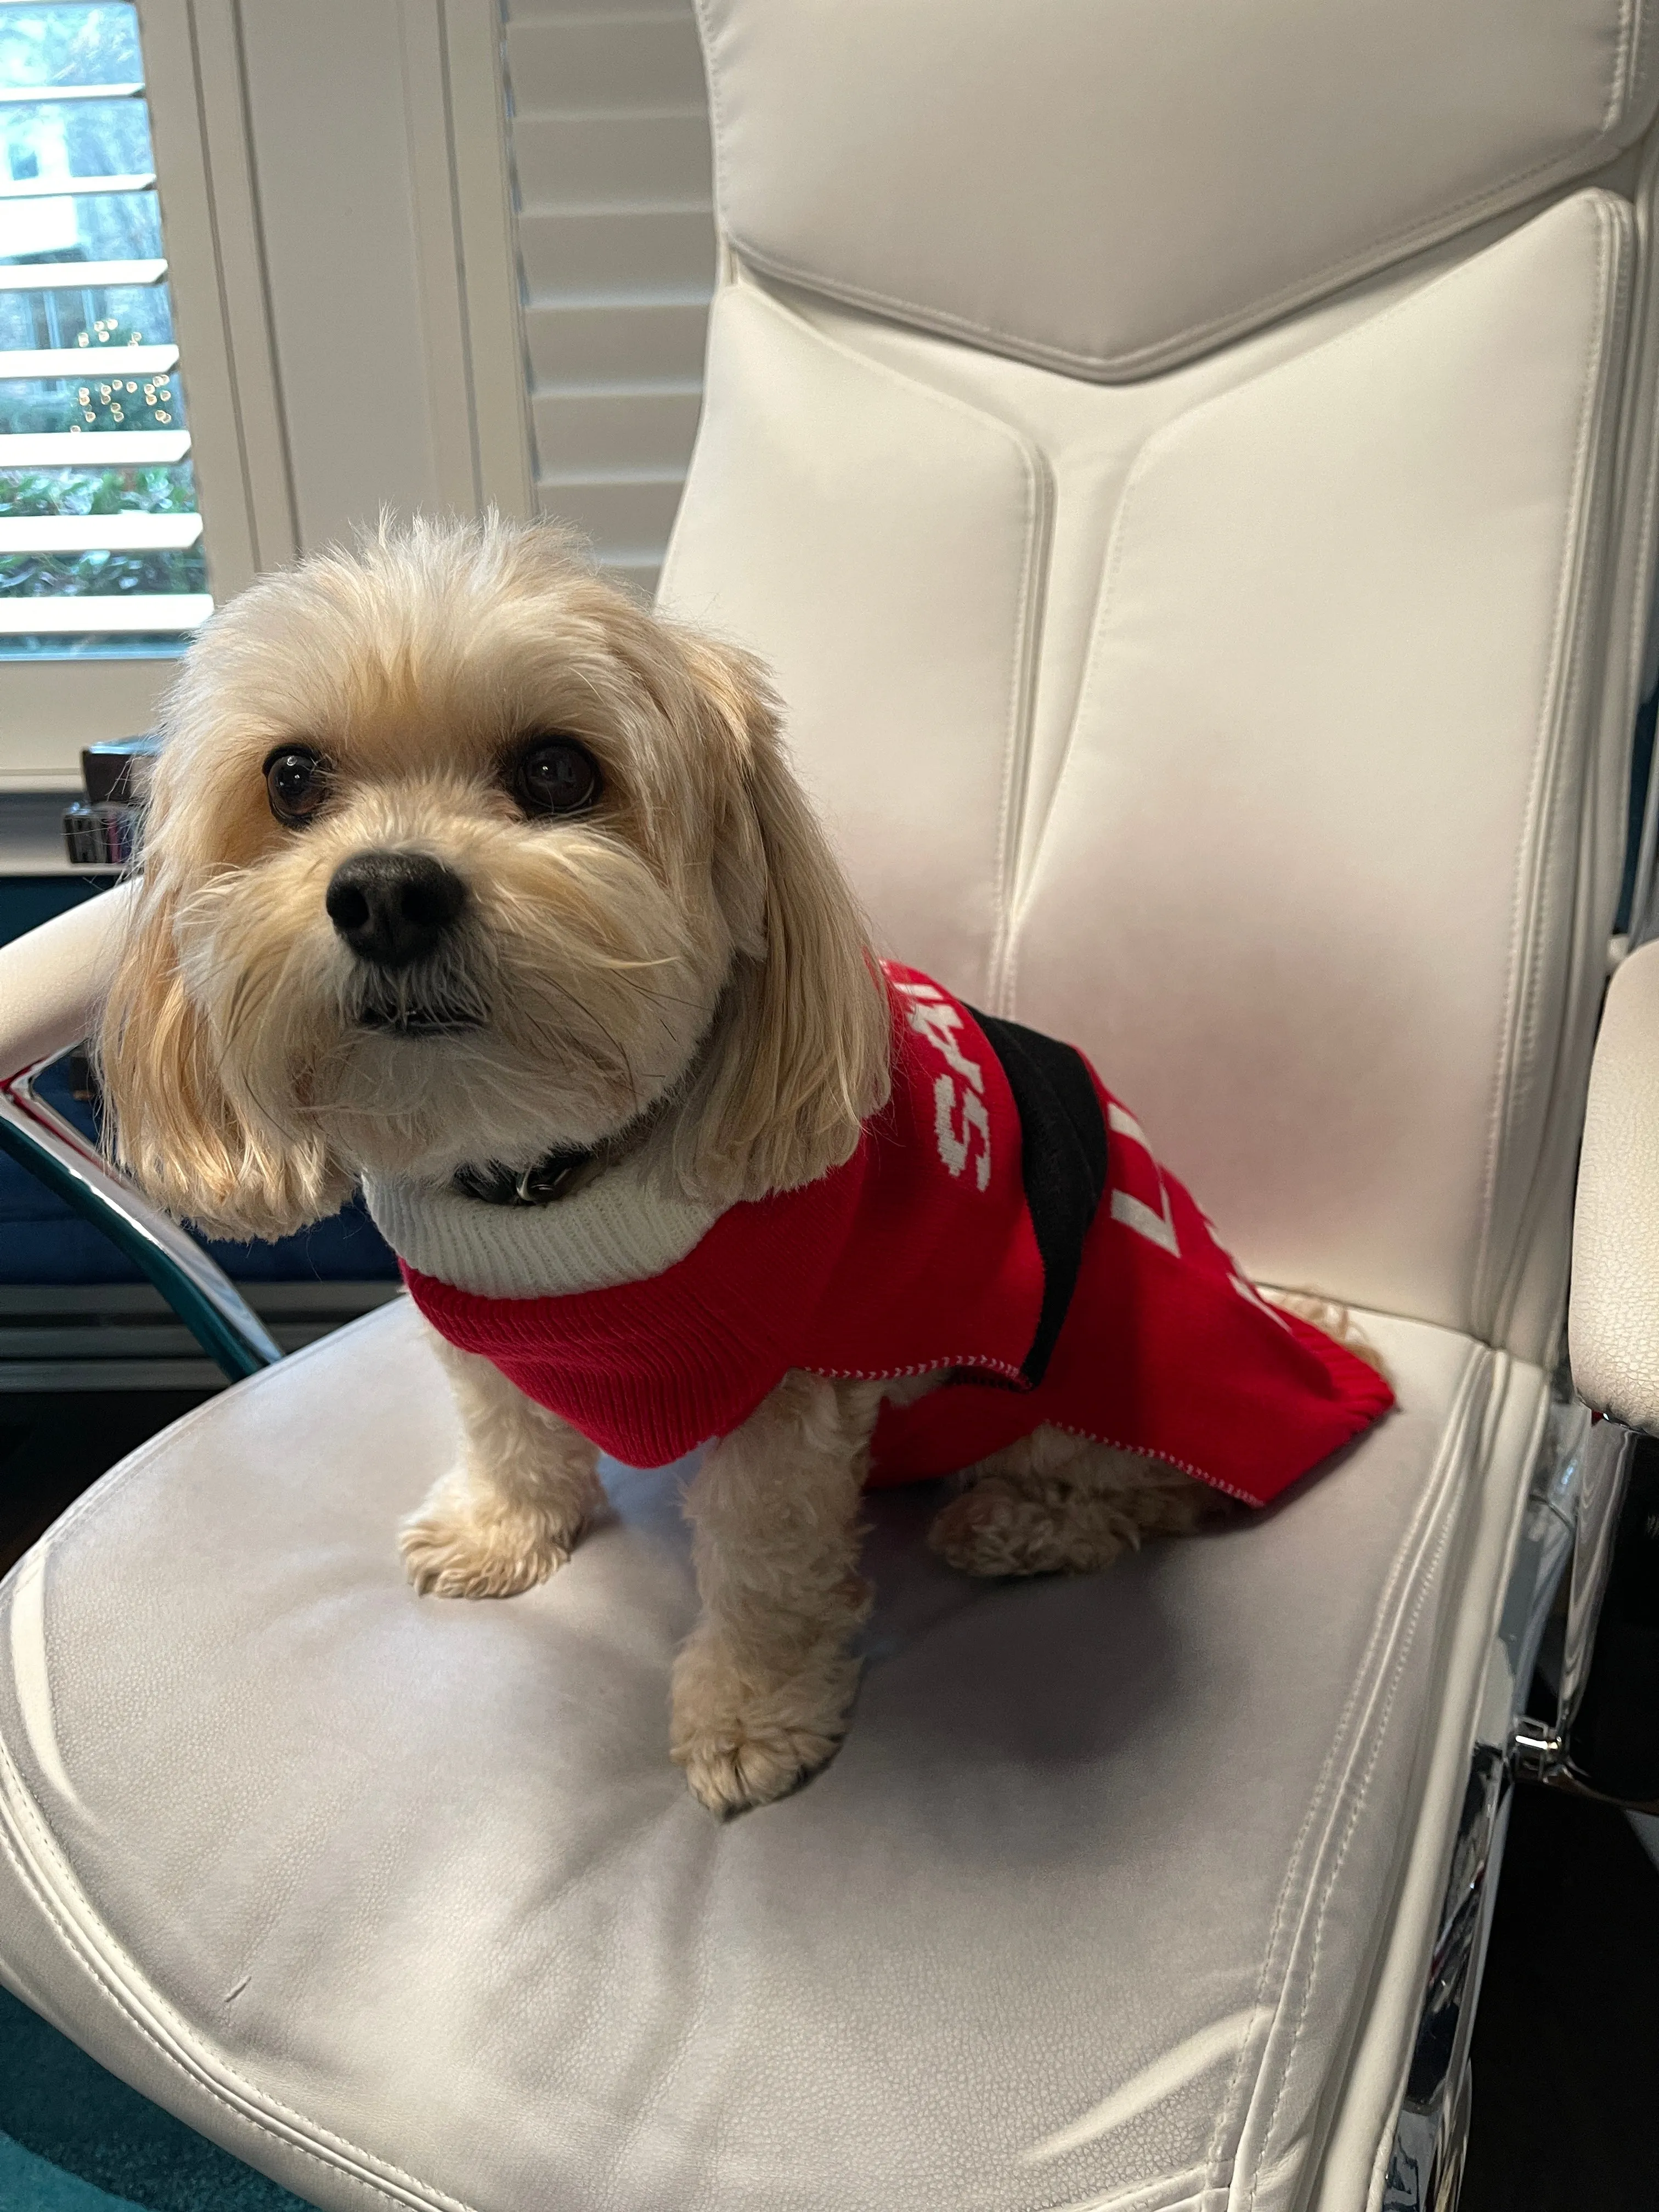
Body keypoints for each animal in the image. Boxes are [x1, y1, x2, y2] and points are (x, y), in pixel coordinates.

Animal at [94, 513, 1389, 1814]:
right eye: (291, 780)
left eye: (557, 771)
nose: (387, 893)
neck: (544, 1177)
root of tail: (1294, 1336)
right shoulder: (481, 1324)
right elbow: (507, 1425)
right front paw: (502, 1527)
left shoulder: (794, 1388)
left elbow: (766, 1560)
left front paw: (751, 1709)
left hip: (1083, 1382)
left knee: (1151, 1490)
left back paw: (1018, 1525)